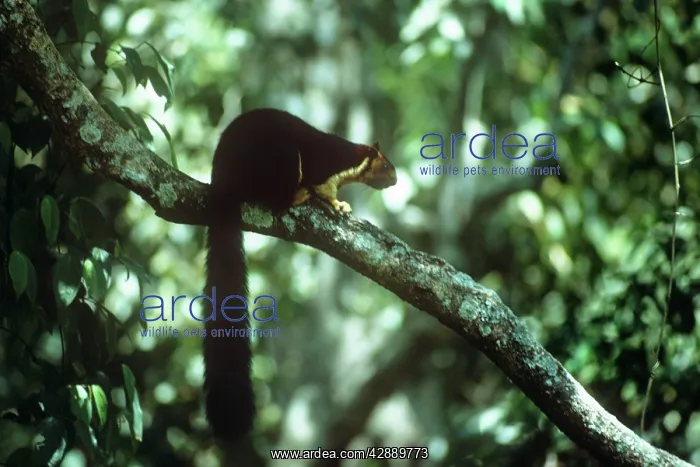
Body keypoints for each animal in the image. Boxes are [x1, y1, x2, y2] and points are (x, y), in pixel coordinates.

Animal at [203, 108, 397, 442]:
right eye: (385, 165)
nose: (396, 179)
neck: (348, 158)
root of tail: (221, 178)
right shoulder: (322, 168)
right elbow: (324, 189)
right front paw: (338, 204)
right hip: (279, 160)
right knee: (275, 196)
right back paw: (298, 196)